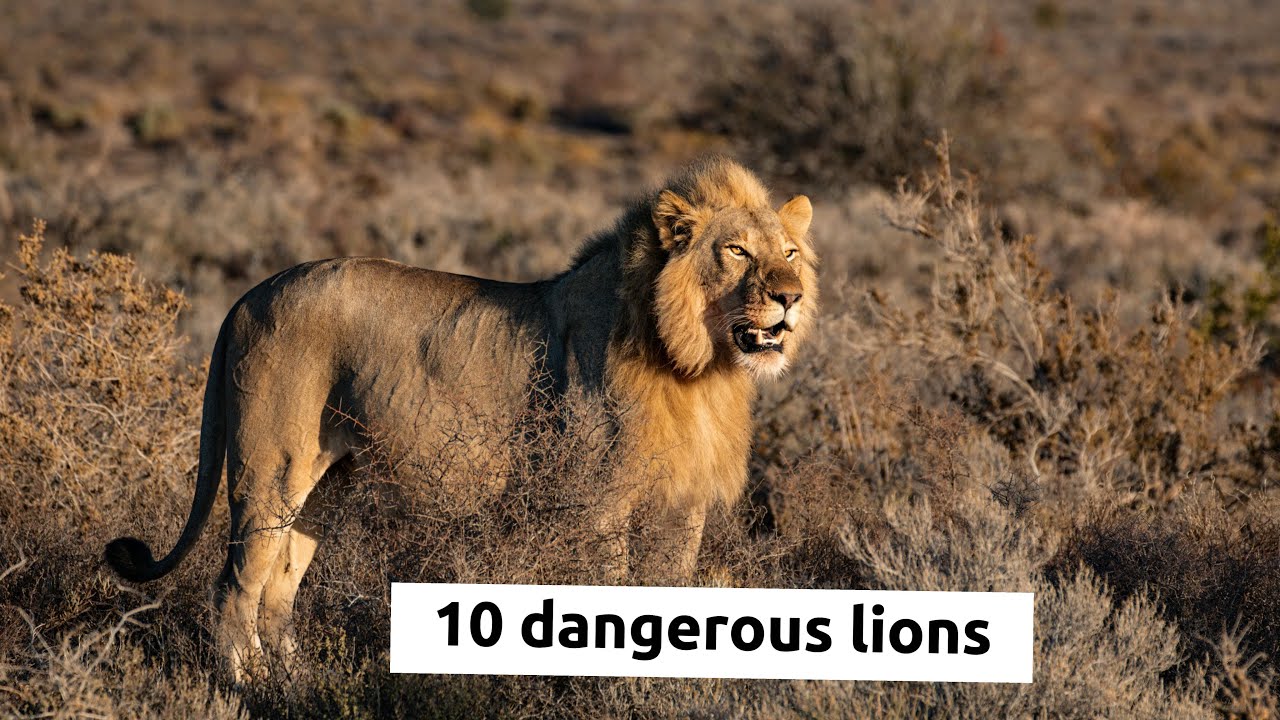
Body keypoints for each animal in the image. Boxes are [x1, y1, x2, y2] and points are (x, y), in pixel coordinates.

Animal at [104, 157, 817, 681]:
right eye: (737, 252)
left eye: (788, 252)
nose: (790, 297)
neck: (699, 367)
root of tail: (248, 296)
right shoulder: (599, 503)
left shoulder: (682, 505)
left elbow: (671, 596)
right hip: (269, 470)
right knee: (234, 587)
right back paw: (248, 687)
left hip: (326, 484)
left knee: (279, 589)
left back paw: (296, 681)